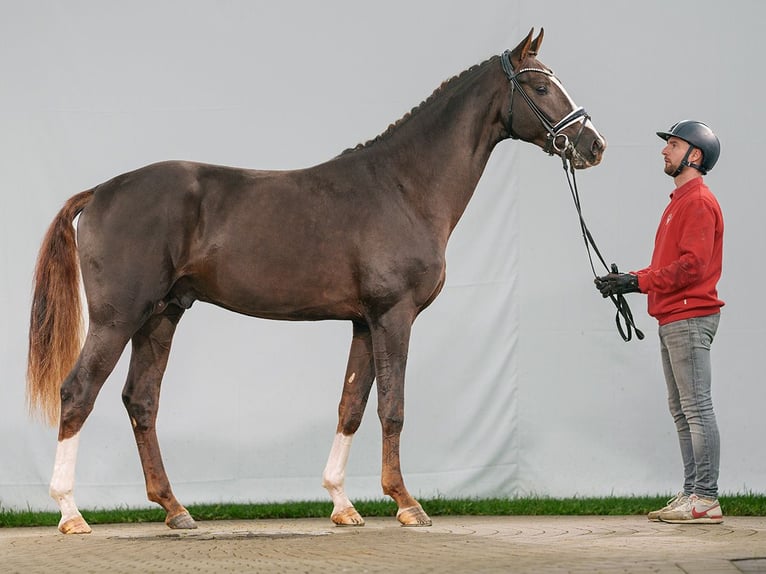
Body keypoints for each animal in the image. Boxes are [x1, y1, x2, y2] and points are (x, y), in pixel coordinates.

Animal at [28, 29, 608, 536]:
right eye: (539, 87)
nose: (593, 145)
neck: (403, 186)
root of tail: (100, 192)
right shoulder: (393, 316)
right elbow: (392, 407)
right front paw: (406, 503)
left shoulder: (363, 323)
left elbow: (351, 405)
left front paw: (342, 504)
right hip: (118, 318)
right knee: (78, 392)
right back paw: (70, 513)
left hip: (161, 316)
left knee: (141, 401)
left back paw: (175, 510)